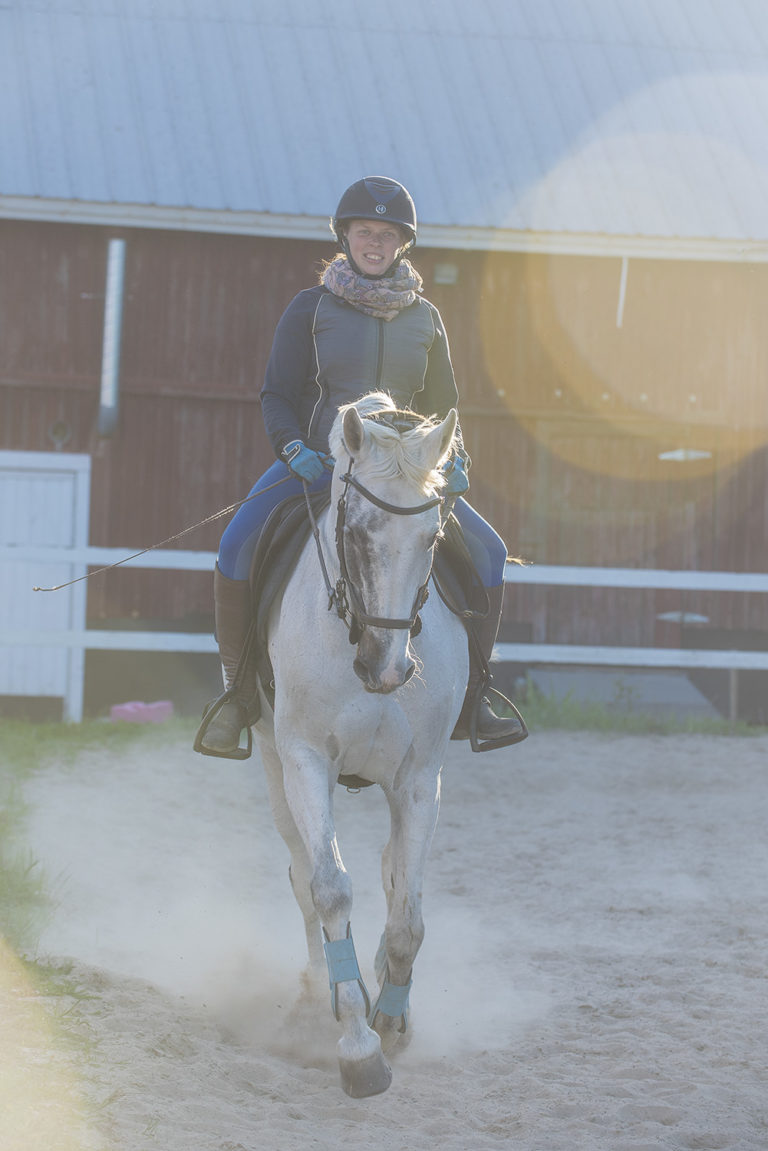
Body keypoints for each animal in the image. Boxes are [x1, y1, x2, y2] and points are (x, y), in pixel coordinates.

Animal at [252, 393, 469, 1095]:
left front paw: (394, 1021)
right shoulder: (304, 761)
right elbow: (330, 890)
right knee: (302, 874)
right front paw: (357, 1045)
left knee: (391, 869)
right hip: (274, 769)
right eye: (356, 533)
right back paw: (320, 990)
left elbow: (407, 915)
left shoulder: (420, 778)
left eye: (432, 538)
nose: (387, 669)